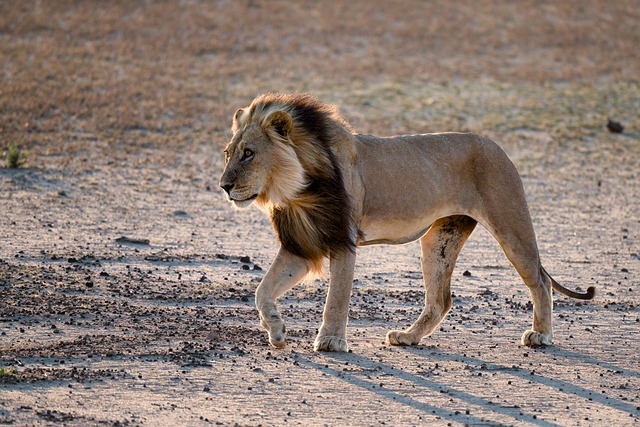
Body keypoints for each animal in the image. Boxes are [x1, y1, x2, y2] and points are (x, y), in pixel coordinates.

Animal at [219, 93, 595, 352]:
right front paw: (276, 330)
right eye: (227, 153)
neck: (296, 189)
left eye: (249, 153)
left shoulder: (343, 240)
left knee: (541, 282)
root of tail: (496, 144)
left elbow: (337, 298)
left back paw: (541, 335)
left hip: (511, 226)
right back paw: (407, 337)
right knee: (440, 300)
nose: (223, 186)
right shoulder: (302, 245)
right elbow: (262, 290)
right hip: (439, 240)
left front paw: (331, 341)